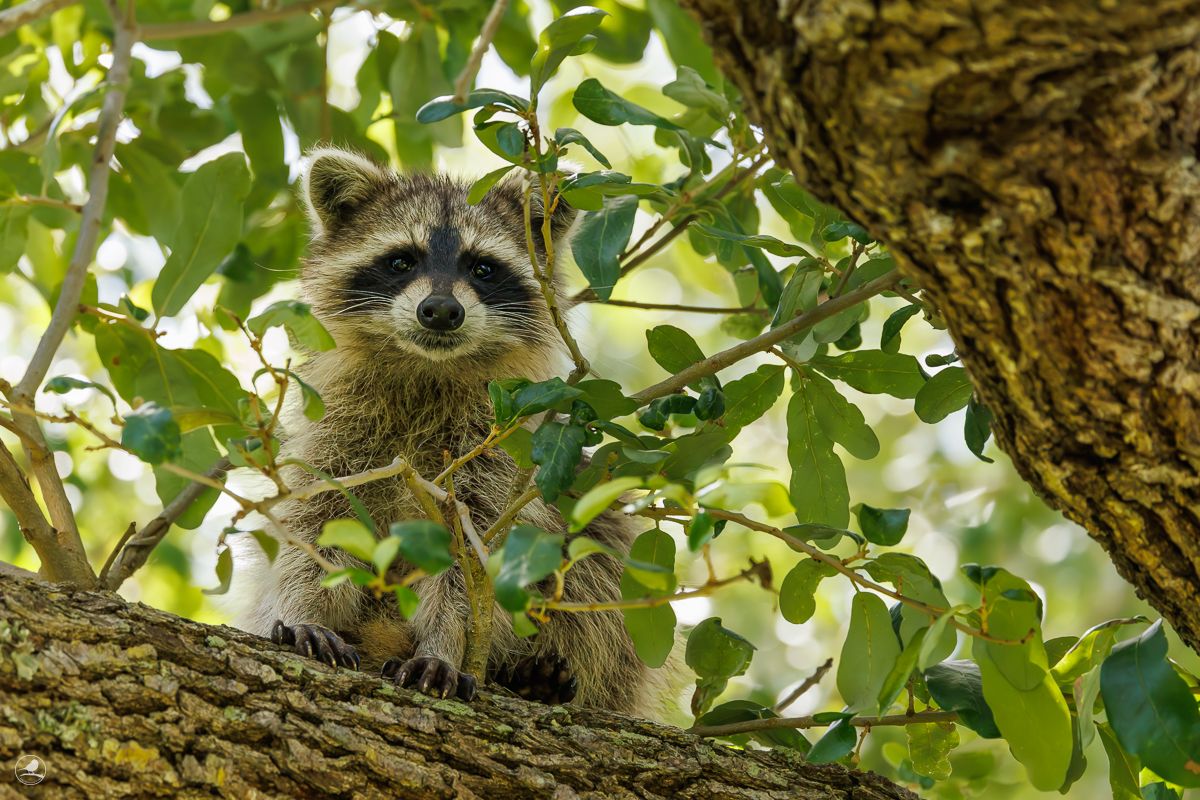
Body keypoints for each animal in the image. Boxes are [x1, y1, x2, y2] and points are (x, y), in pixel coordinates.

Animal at [232, 148, 671, 715]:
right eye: (402, 261)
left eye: (482, 268)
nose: (441, 310)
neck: (427, 371)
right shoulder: (337, 436)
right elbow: (314, 527)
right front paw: (306, 610)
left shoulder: (496, 460)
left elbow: (474, 563)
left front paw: (444, 645)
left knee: (601, 569)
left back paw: (536, 680)